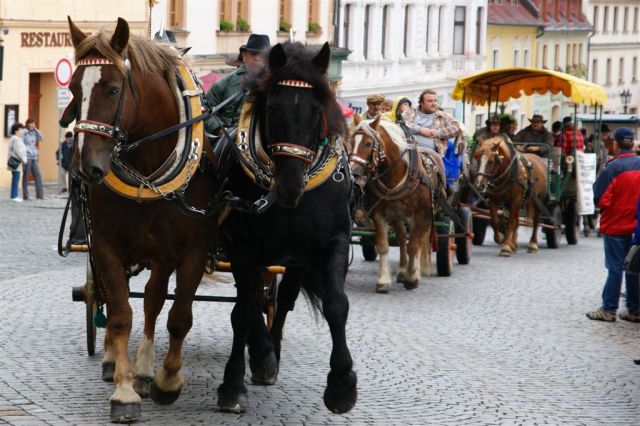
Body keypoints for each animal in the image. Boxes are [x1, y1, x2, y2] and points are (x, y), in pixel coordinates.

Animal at [66, 17, 219, 422]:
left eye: (112, 89)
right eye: (72, 88)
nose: (85, 167)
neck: (148, 169)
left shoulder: (192, 250)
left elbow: (178, 315)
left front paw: (167, 380)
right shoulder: (105, 244)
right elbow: (120, 313)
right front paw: (123, 391)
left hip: (162, 254)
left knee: (154, 299)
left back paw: (148, 371)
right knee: (116, 299)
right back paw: (115, 363)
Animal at [214, 41, 356, 414]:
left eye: (317, 109)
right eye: (272, 108)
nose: (290, 186)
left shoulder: (331, 242)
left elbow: (337, 304)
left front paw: (342, 384)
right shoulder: (243, 247)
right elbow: (243, 312)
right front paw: (232, 385)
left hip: (295, 260)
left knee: (284, 301)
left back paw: (270, 355)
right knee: (250, 302)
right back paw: (262, 353)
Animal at [348, 115, 442, 292]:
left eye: (368, 143)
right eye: (350, 142)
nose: (354, 173)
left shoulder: (419, 215)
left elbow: (414, 246)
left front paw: (412, 278)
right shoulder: (379, 215)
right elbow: (383, 246)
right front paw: (383, 280)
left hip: (427, 214)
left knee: (419, 241)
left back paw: (415, 271)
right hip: (397, 216)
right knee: (401, 237)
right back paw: (402, 270)